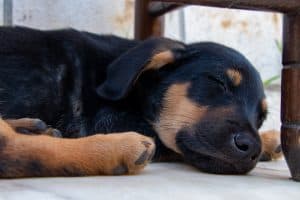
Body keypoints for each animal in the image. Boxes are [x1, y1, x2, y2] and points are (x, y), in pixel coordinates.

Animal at [0, 25, 282, 177]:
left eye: (261, 117)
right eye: (218, 83)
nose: (251, 147)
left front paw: (269, 140)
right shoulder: (107, 120)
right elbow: (169, 144)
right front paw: (270, 141)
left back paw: (34, 128)